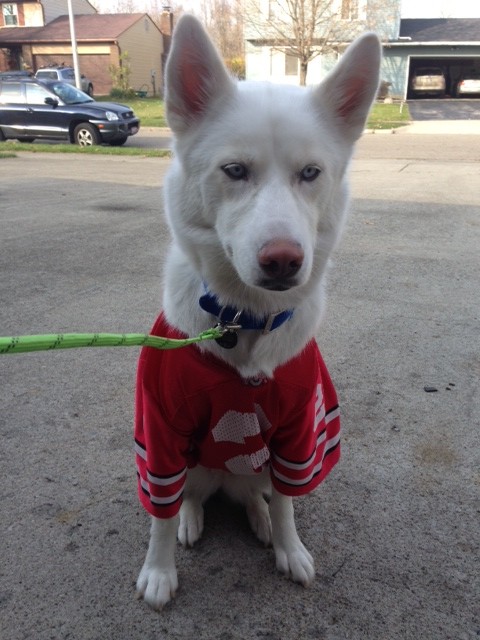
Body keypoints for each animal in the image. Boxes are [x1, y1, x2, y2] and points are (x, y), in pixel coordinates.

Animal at [133, 15, 380, 608]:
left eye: (310, 173)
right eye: (235, 170)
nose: (284, 261)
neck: (242, 320)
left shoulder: (297, 435)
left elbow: (290, 502)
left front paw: (289, 547)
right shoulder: (161, 436)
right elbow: (158, 511)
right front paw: (159, 570)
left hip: (260, 466)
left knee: (257, 495)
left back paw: (261, 521)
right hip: (194, 465)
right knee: (187, 497)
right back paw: (192, 519)